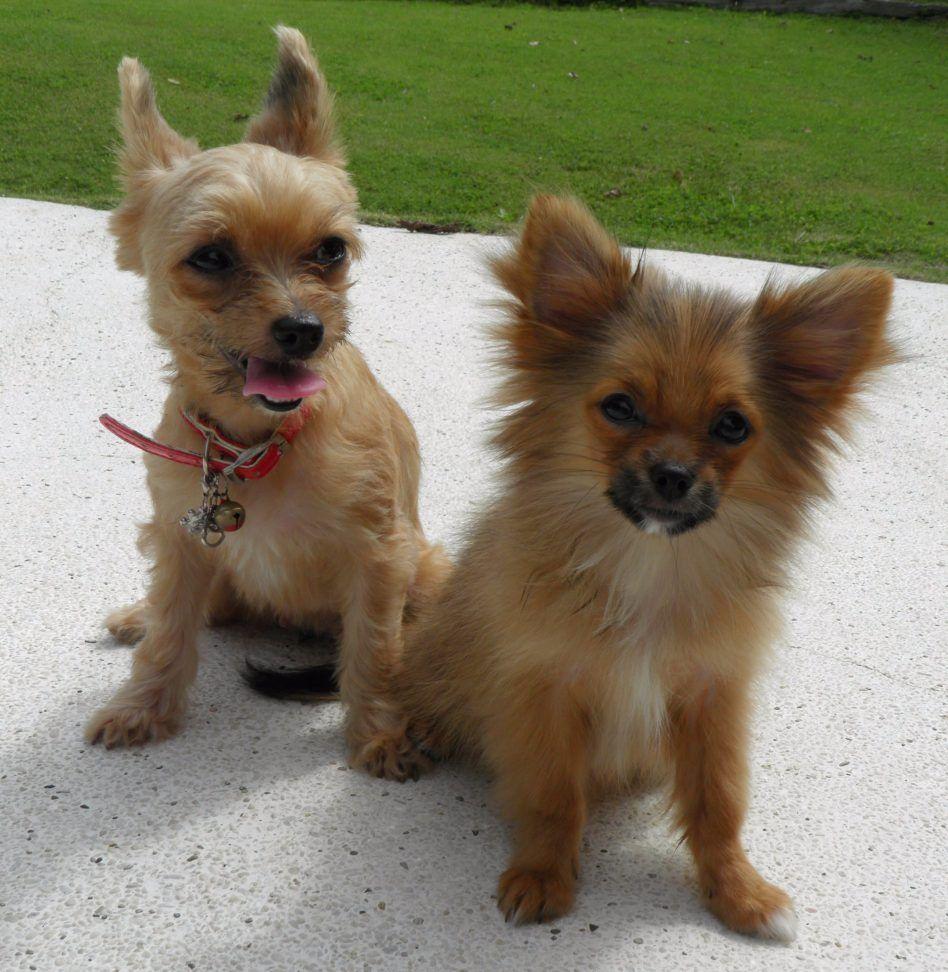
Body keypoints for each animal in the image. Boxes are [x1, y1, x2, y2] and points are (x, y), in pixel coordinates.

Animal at [85, 24, 448, 784]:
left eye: (331, 250)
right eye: (211, 258)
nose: (304, 330)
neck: (259, 442)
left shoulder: (380, 557)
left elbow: (376, 651)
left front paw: (381, 733)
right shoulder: (181, 539)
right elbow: (171, 629)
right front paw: (145, 706)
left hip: (428, 573)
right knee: (197, 609)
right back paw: (138, 614)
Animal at [386, 196, 896, 936]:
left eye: (733, 425)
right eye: (620, 407)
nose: (673, 475)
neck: (651, 563)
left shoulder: (712, 697)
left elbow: (718, 804)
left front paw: (738, 891)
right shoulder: (546, 691)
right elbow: (552, 796)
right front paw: (543, 874)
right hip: (442, 655)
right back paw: (422, 727)